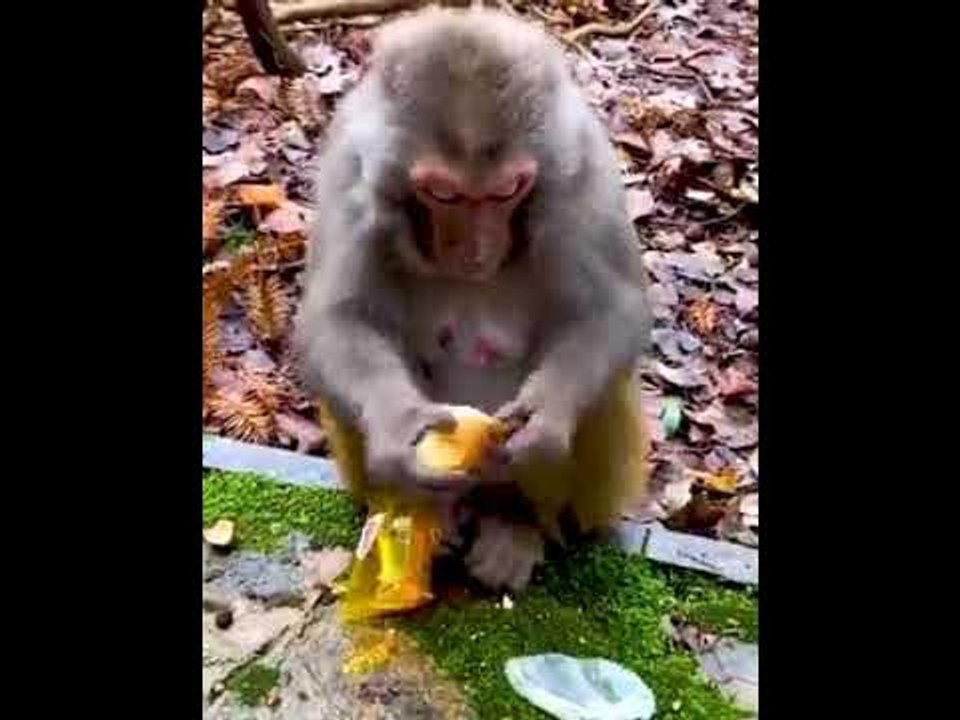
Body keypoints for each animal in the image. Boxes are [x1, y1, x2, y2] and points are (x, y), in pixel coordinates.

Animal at [294, 7, 652, 593]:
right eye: (443, 194)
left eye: (506, 191)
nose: (477, 250)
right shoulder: (348, 160)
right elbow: (339, 317)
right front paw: (399, 427)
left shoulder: (584, 162)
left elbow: (611, 309)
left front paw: (545, 420)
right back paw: (426, 514)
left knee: (603, 393)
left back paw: (518, 523)